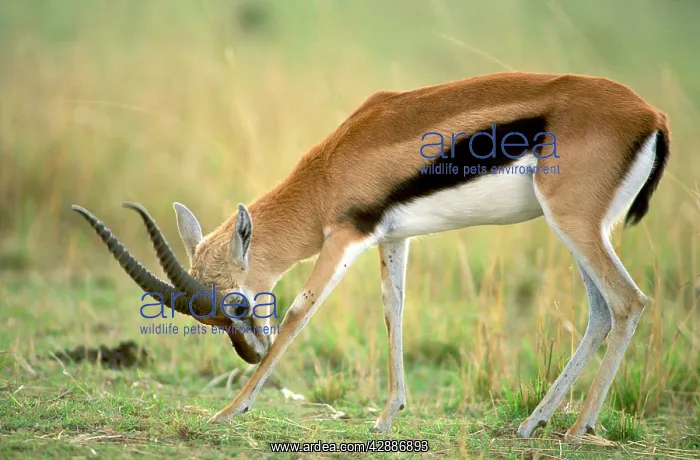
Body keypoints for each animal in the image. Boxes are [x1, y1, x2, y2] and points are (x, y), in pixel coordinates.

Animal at [73, 71, 670, 441]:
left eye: (237, 305)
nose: (249, 353)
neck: (331, 169)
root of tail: (652, 116)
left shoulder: (344, 238)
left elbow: (299, 313)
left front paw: (227, 411)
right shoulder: (392, 238)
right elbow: (394, 311)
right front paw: (387, 417)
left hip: (574, 225)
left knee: (629, 301)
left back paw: (577, 428)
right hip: (576, 230)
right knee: (599, 310)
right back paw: (532, 425)